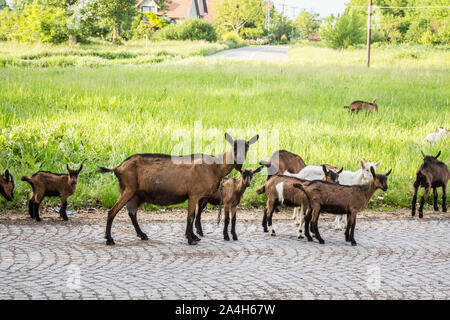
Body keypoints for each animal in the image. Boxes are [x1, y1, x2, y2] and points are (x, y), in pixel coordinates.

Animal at [100, 132, 258, 245]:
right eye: (234, 147)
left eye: (247, 147)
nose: (239, 164)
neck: (215, 166)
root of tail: (118, 167)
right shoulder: (194, 194)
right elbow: (190, 216)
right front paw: (191, 239)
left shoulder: (199, 196)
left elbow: (194, 215)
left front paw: (194, 236)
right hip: (128, 189)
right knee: (112, 212)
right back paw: (110, 239)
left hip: (137, 194)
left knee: (132, 212)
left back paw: (143, 235)